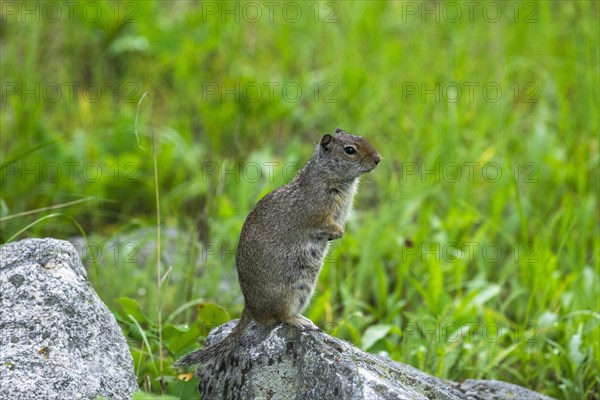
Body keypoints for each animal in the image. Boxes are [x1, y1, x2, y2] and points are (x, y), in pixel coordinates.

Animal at [173, 129, 380, 368]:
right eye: (350, 150)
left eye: (364, 139)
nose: (378, 159)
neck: (329, 177)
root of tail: (250, 308)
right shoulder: (318, 212)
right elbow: (325, 223)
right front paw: (337, 233)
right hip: (288, 295)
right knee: (280, 317)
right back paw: (300, 321)